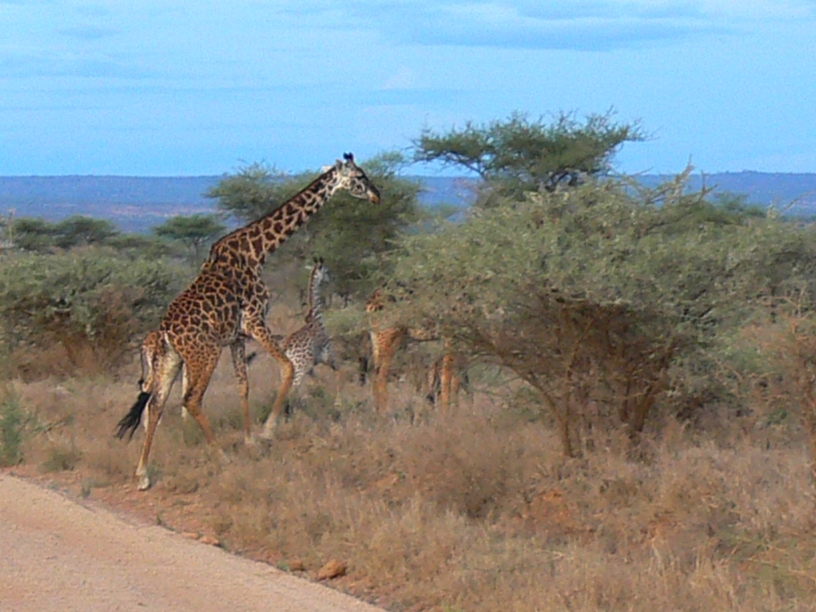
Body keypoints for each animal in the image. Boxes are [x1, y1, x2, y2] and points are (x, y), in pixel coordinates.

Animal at [115, 153, 380, 490]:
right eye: (359, 176)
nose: (377, 195)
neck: (258, 251)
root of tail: (165, 333)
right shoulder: (255, 320)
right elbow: (288, 367)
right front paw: (267, 431)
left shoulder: (237, 336)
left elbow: (244, 385)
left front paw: (250, 439)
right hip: (205, 354)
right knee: (191, 399)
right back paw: (220, 455)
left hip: (172, 359)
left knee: (156, 404)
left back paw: (143, 474)